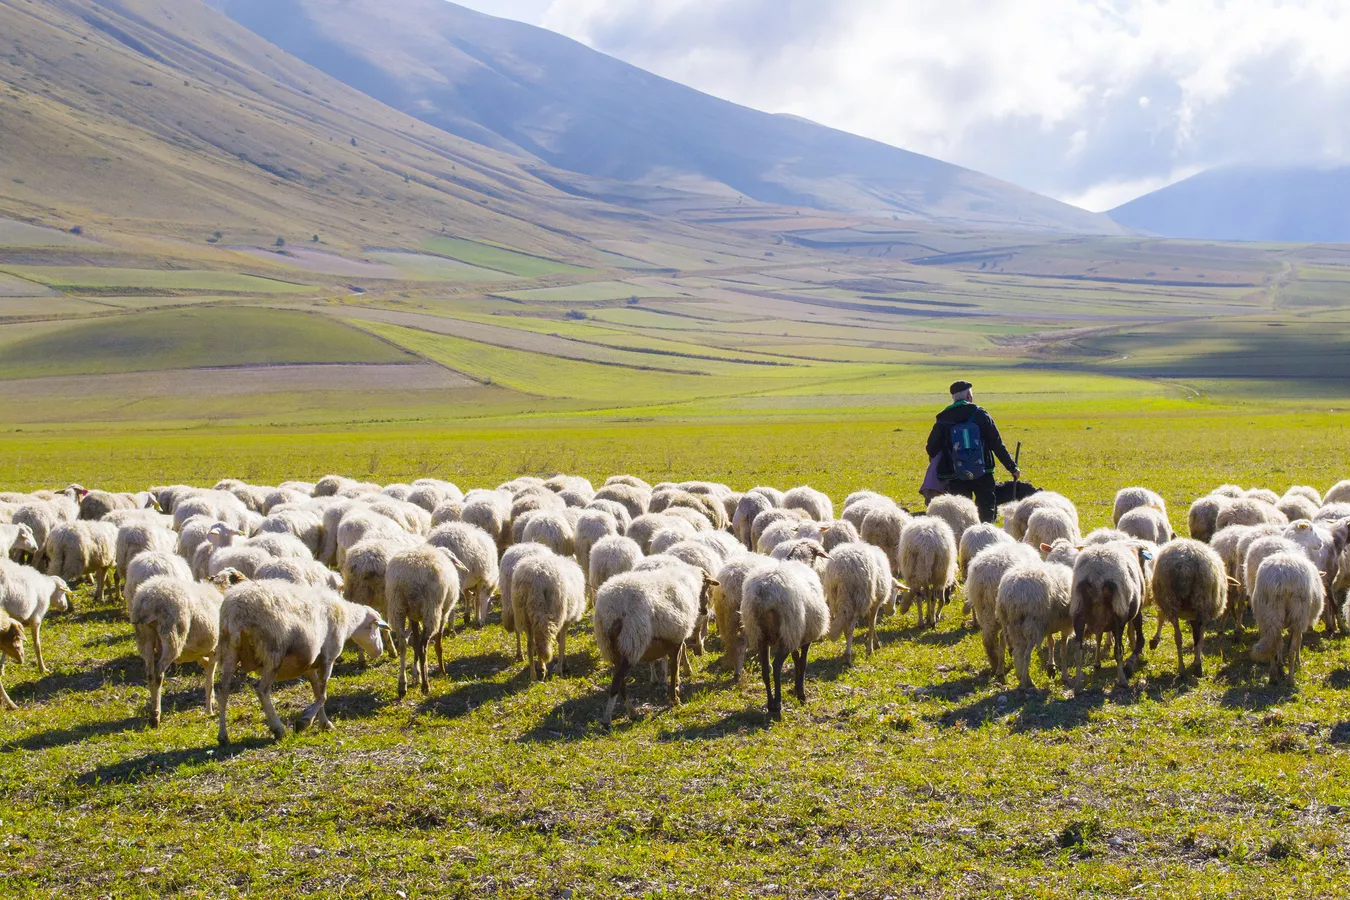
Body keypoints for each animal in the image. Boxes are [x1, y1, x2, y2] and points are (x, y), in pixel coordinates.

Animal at [214, 580, 386, 744]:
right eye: (375, 627)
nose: (380, 651)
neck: (348, 620)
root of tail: (235, 613)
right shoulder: (328, 657)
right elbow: (323, 695)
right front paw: (304, 722)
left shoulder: (311, 665)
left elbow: (317, 691)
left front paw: (325, 723)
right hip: (273, 652)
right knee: (262, 691)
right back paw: (278, 729)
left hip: (229, 650)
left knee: (223, 691)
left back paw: (223, 736)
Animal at [745, 558, 826, 723]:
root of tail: (764, 595)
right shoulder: (804, 638)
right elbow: (803, 662)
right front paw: (801, 694)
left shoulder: (794, 638)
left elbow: (796, 659)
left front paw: (796, 688)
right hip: (787, 629)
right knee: (776, 666)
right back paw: (777, 703)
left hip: (761, 635)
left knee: (765, 668)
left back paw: (770, 703)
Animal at [1247, 553, 1323, 685]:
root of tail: (1281, 578)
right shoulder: (1299, 623)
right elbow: (1298, 642)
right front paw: (1298, 662)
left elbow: (1280, 645)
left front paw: (1280, 665)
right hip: (1298, 613)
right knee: (1291, 650)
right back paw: (1290, 680)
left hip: (1269, 612)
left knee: (1273, 645)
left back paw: (1274, 676)